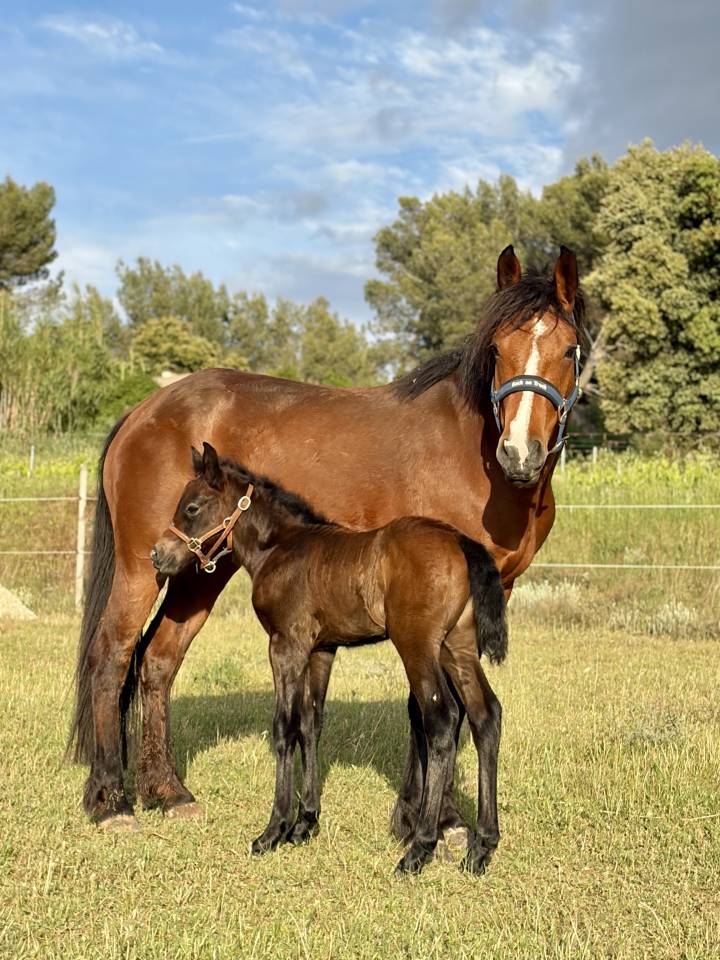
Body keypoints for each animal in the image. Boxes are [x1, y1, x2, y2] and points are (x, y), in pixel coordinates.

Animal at [151, 441, 508, 875]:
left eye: (191, 508)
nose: (157, 556)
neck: (279, 549)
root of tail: (459, 541)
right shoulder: (321, 650)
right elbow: (310, 724)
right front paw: (305, 823)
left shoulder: (285, 645)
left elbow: (284, 727)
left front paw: (274, 830)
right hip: (456, 646)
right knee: (485, 715)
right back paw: (482, 846)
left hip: (417, 645)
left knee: (442, 721)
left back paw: (419, 847)